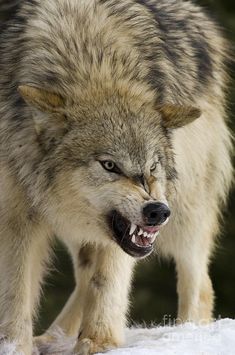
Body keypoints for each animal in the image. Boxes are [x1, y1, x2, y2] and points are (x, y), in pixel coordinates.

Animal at [0, 0, 232, 354]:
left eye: (153, 166)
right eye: (109, 165)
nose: (157, 211)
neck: (92, 61)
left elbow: (108, 279)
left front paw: (99, 341)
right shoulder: (16, 215)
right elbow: (17, 291)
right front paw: (16, 346)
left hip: (188, 210)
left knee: (200, 284)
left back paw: (187, 335)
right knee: (84, 274)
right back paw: (53, 338)